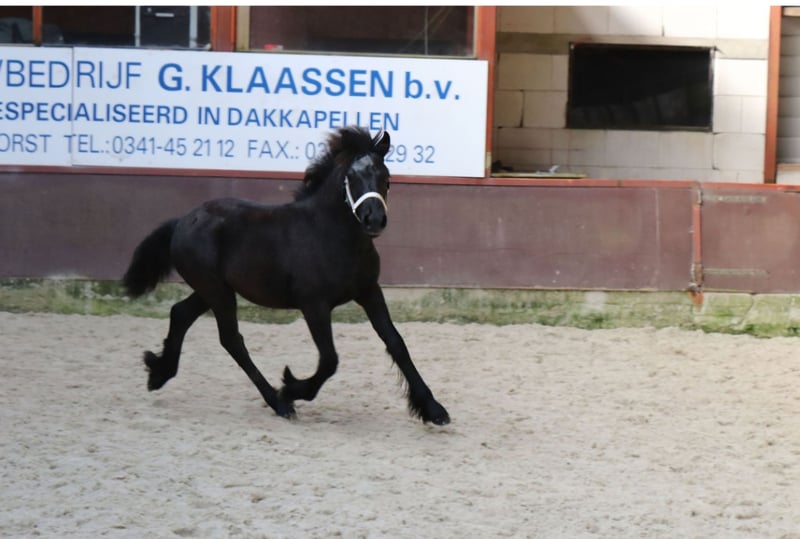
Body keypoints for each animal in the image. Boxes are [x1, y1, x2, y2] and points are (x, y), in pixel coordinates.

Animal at [122, 126, 450, 426]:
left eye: (386, 177)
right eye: (351, 177)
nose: (374, 220)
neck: (332, 234)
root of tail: (183, 220)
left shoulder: (369, 291)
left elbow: (396, 343)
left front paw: (434, 410)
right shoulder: (314, 304)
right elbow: (329, 360)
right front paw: (291, 387)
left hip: (212, 290)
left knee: (181, 313)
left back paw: (158, 373)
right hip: (217, 291)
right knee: (231, 339)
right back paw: (278, 402)